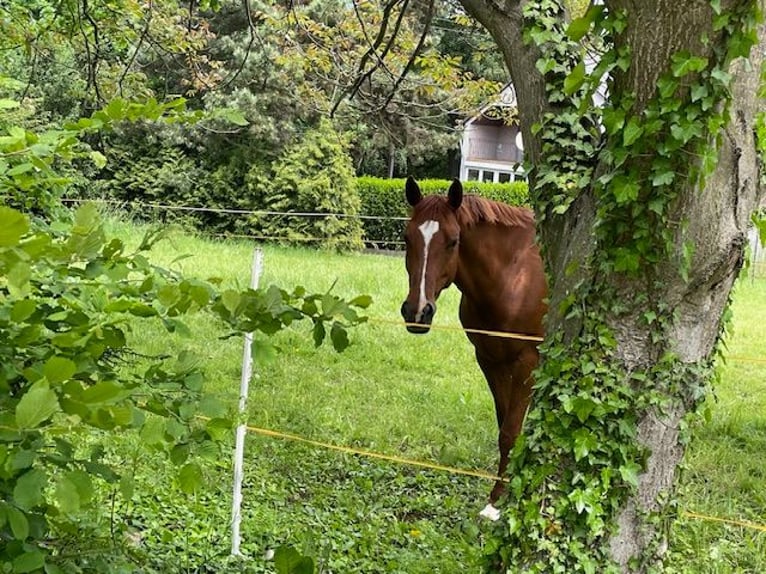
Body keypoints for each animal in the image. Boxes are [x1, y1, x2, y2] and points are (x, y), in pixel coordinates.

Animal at [400, 177, 548, 520]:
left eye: (453, 241)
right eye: (406, 238)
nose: (417, 312)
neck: (513, 276)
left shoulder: (526, 363)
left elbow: (510, 431)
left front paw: (498, 503)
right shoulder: (490, 359)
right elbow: (504, 426)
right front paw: (501, 492)